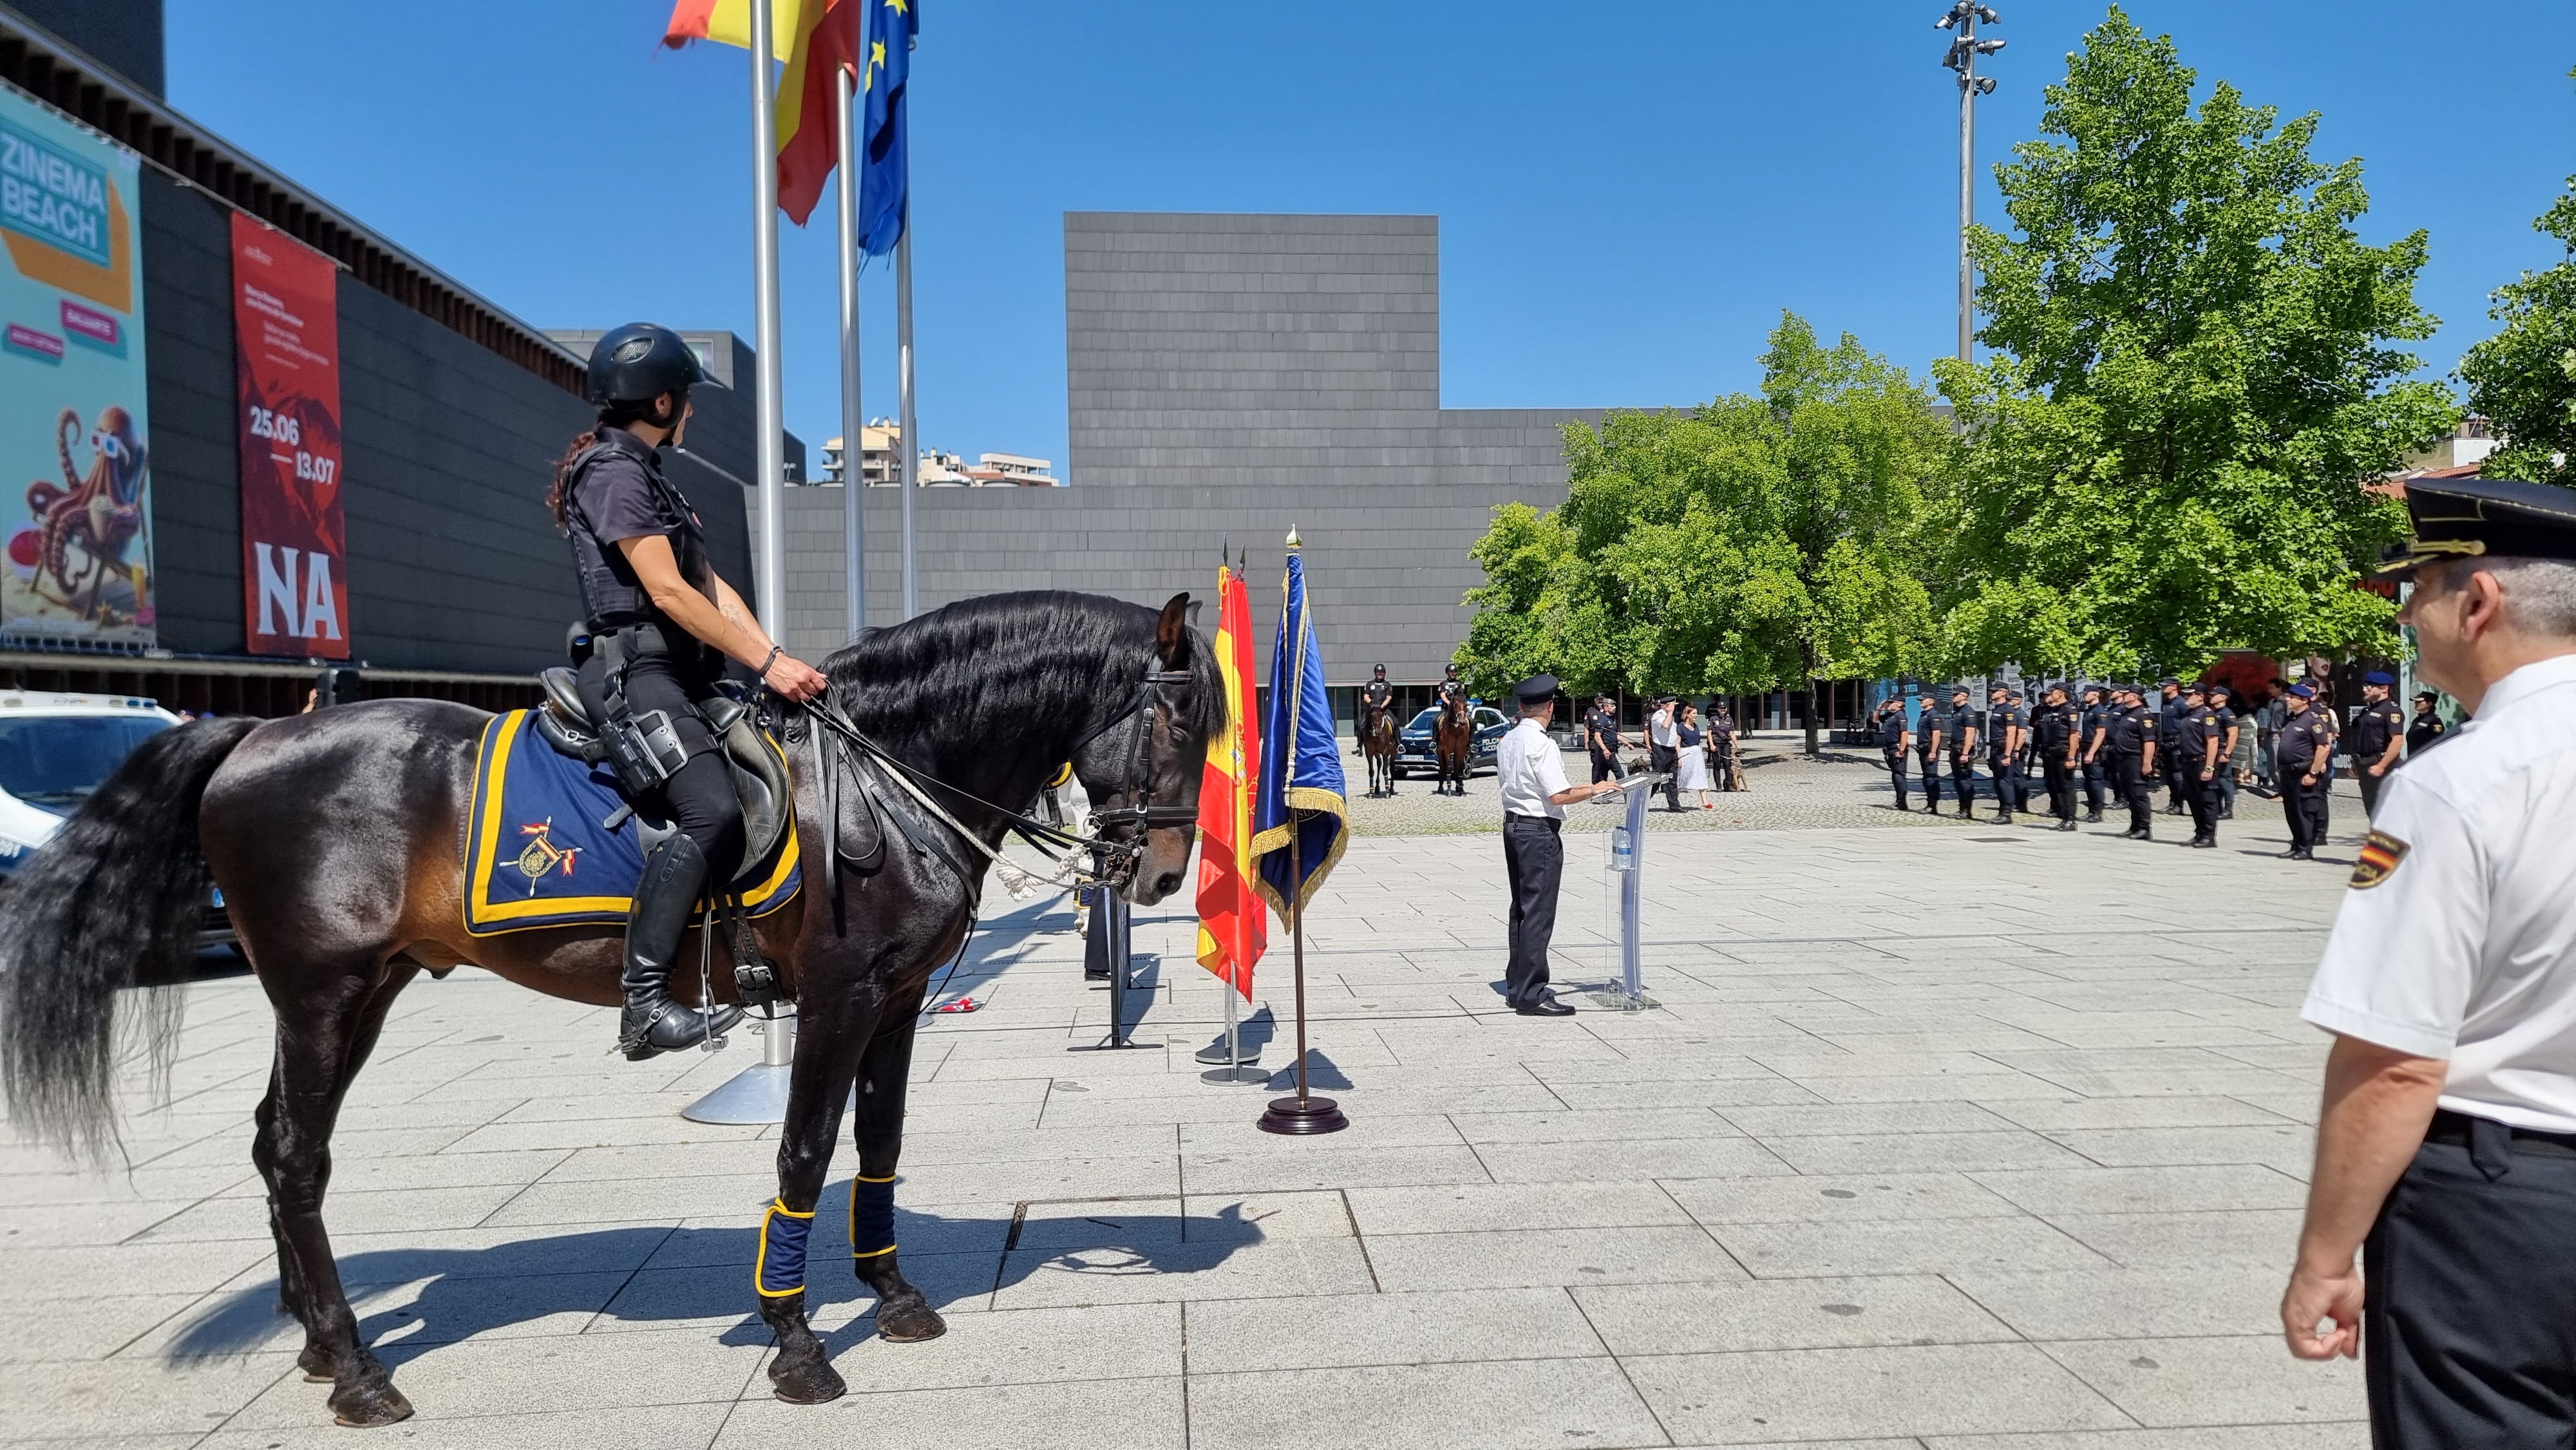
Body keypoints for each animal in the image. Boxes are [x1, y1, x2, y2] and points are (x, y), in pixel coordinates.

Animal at [0, 590, 1216, 1432]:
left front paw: (893, 1291)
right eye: (1177, 715)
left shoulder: (902, 998)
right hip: (320, 989)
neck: (885, 777)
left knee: (275, 1145)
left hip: (365, 990)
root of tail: (250, 735)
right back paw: (354, 1370)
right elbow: (806, 1150)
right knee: (297, 1155)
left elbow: (880, 1141)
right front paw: (795, 1338)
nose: (1159, 876)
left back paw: (313, 1341)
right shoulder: (837, 996)